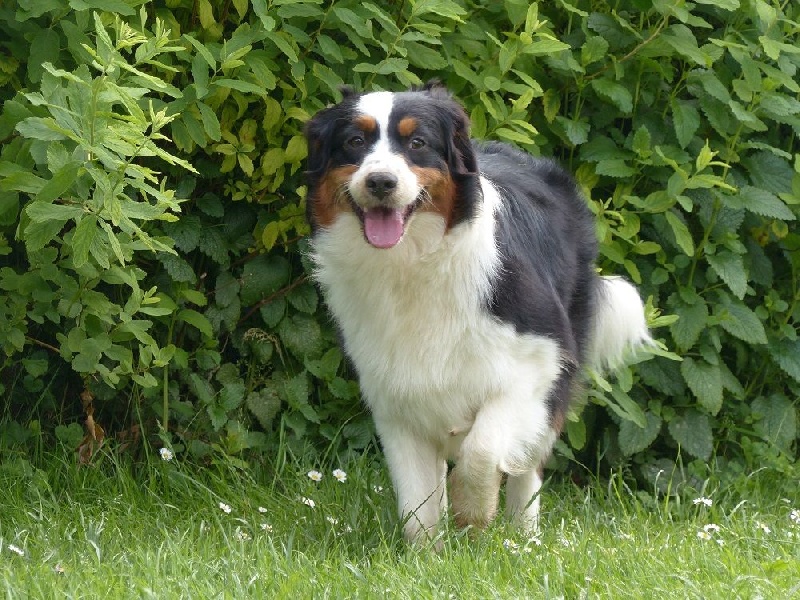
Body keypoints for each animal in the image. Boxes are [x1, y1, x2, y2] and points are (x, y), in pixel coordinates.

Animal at [304, 82, 650, 542]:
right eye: (354, 142)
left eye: (418, 143)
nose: (381, 181)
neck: (411, 265)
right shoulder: (393, 392)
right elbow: (416, 501)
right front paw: (425, 554)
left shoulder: (540, 360)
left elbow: (482, 449)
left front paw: (473, 511)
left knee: (528, 465)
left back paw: (524, 537)